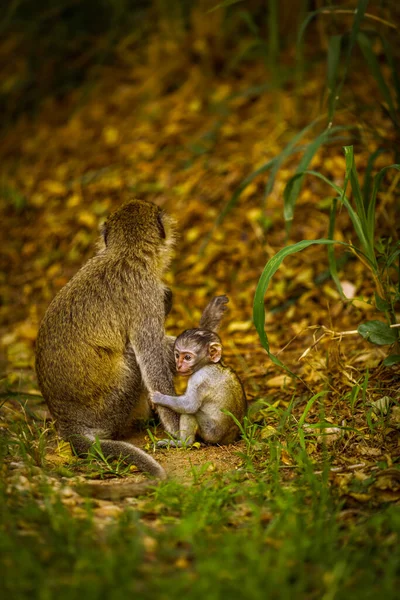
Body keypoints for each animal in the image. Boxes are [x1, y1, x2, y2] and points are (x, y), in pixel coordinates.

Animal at [151, 302, 247, 442]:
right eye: (177, 355)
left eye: (187, 357)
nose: (179, 365)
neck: (208, 364)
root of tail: (229, 438)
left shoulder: (199, 378)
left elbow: (190, 405)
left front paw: (159, 398)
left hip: (210, 433)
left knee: (191, 413)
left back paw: (184, 442)